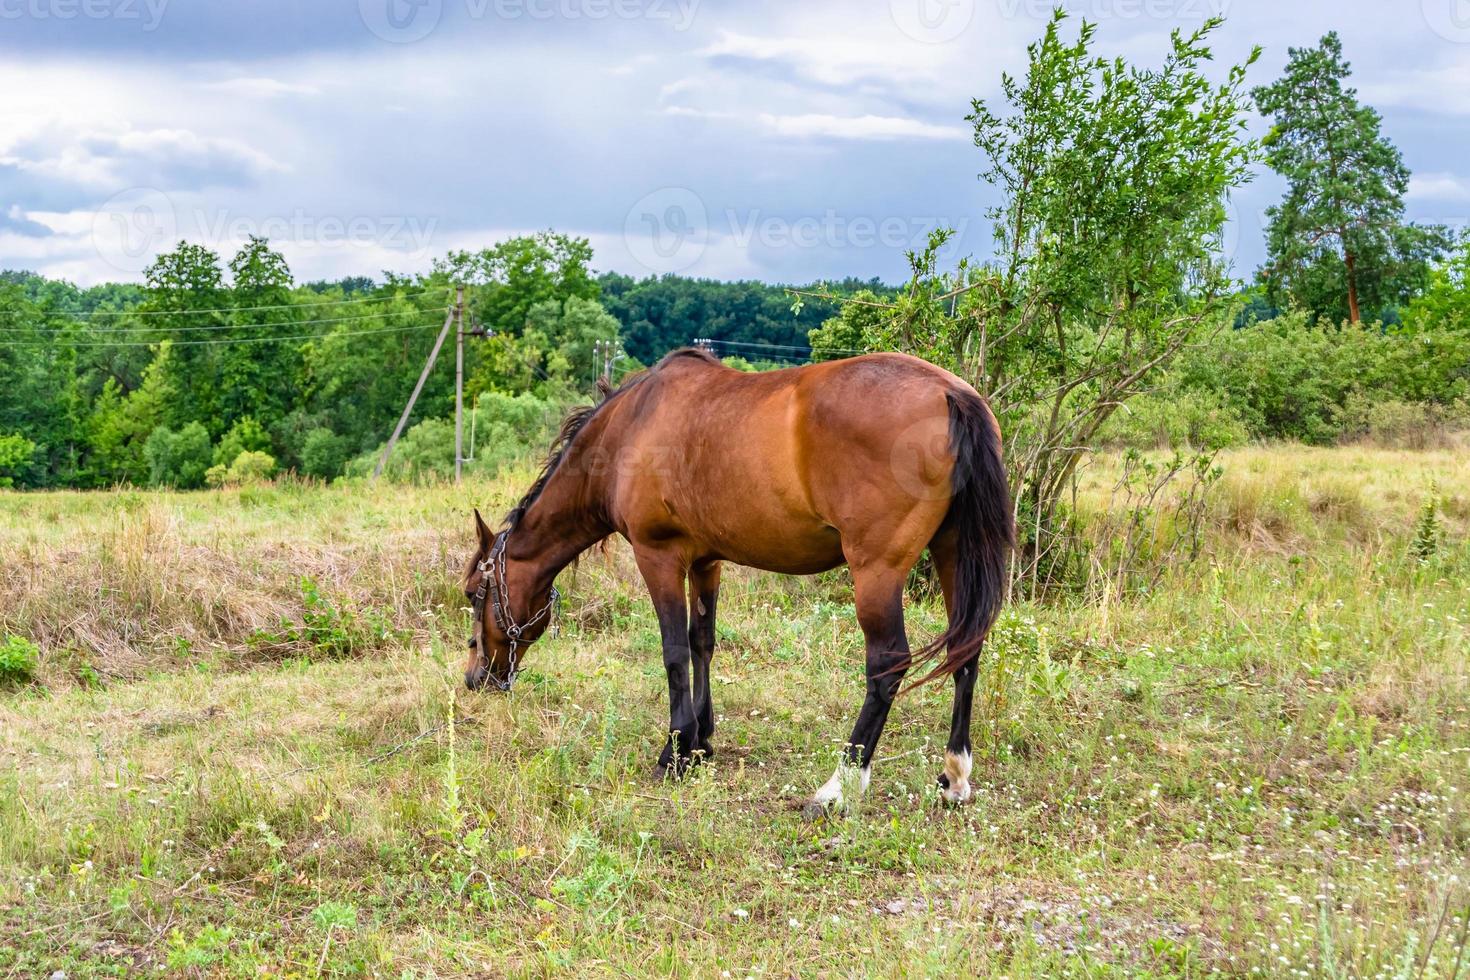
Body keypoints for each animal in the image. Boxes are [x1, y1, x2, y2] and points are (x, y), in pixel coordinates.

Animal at [461, 346, 1011, 811]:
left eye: (471, 593)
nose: (476, 679)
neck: (630, 428)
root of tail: (952, 394)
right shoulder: (707, 561)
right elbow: (701, 641)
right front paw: (701, 741)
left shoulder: (658, 557)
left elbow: (673, 651)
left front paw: (674, 752)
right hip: (953, 552)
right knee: (966, 652)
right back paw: (954, 776)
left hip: (876, 573)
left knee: (887, 666)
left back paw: (838, 786)